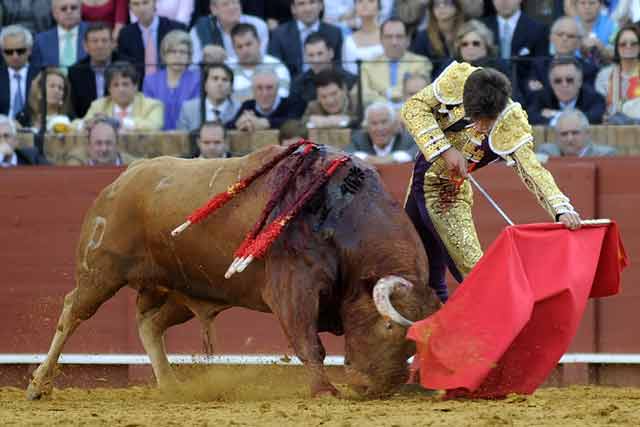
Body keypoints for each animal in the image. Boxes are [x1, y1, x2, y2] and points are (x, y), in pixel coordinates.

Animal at [27, 145, 442, 400]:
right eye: (387, 326)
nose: (380, 388)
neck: (343, 218)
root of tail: (128, 174)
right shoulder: (293, 288)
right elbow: (310, 344)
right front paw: (325, 391)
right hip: (100, 270)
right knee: (72, 313)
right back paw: (38, 385)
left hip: (182, 288)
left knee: (149, 324)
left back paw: (172, 385)